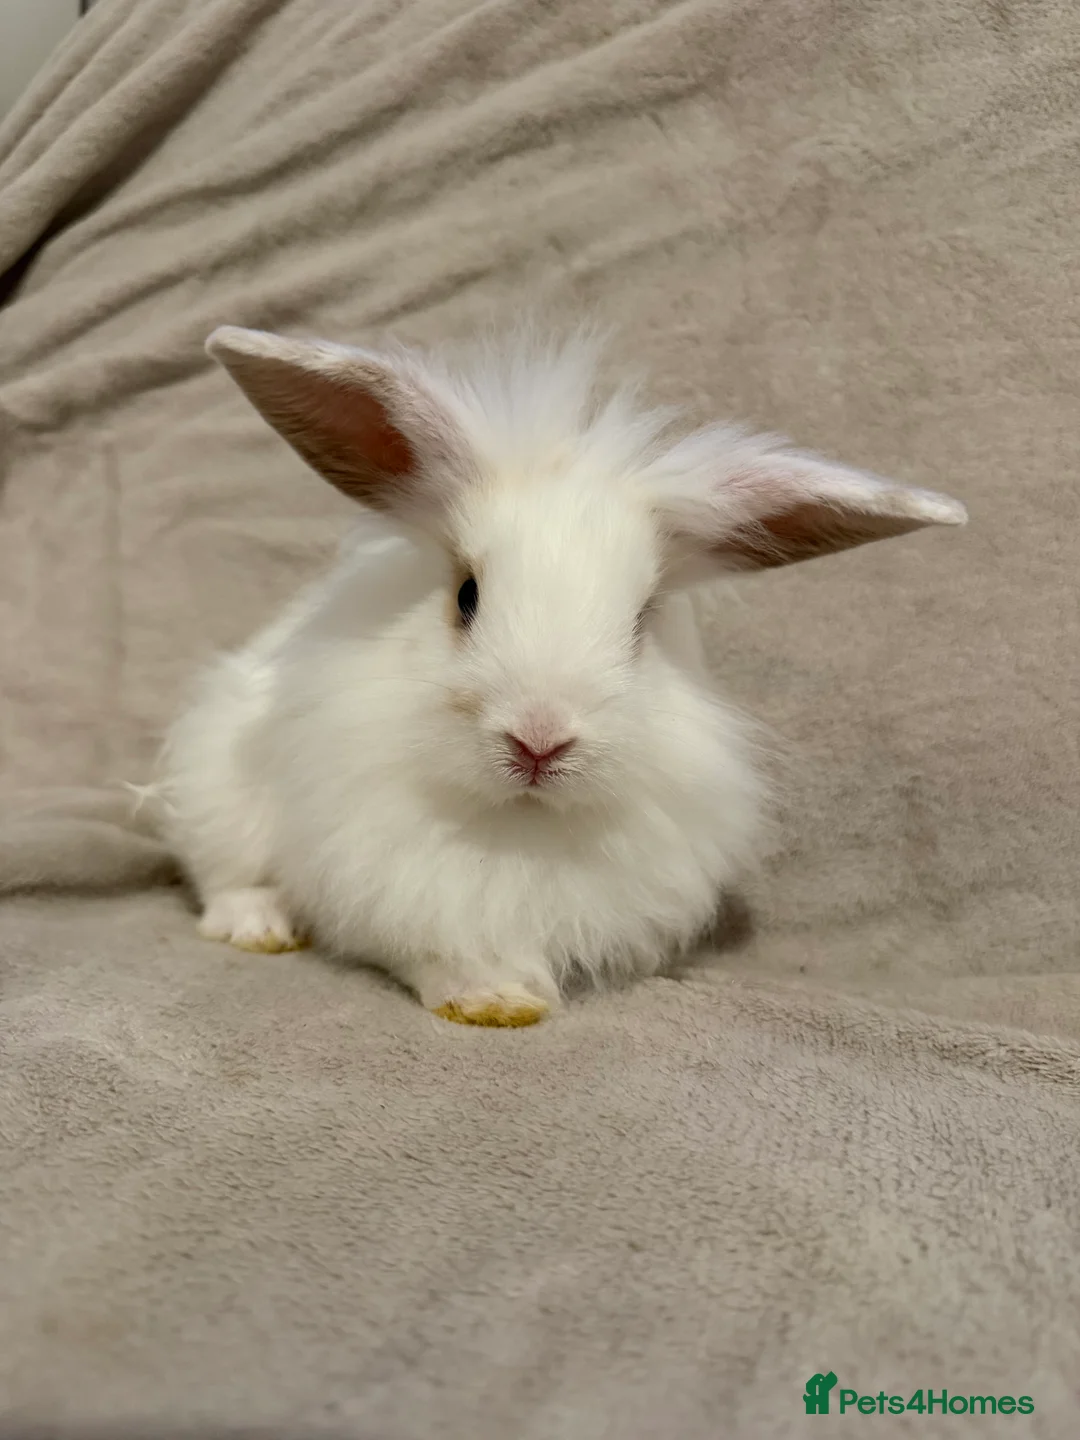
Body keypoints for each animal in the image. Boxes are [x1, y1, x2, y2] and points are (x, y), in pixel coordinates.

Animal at [160, 323, 966, 1027]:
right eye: (467, 596)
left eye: (642, 620)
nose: (539, 740)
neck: (521, 823)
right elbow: (433, 950)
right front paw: (491, 1001)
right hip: (216, 786)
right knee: (224, 878)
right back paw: (259, 926)